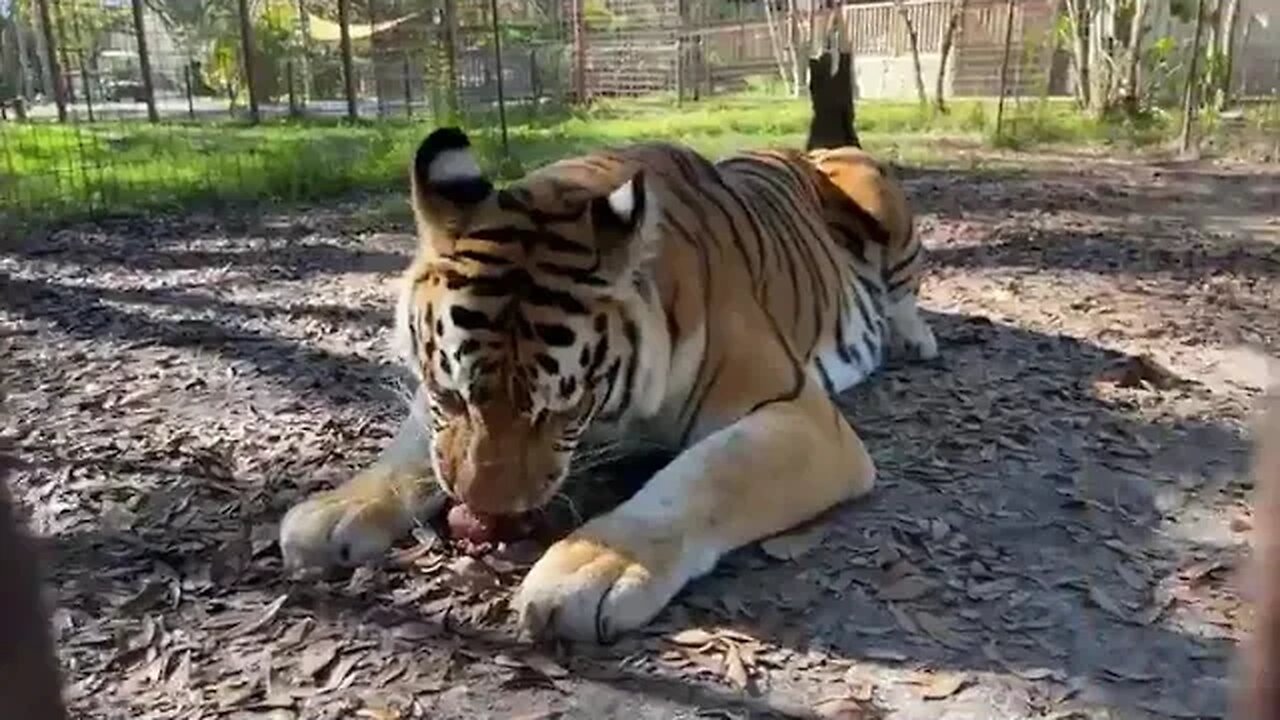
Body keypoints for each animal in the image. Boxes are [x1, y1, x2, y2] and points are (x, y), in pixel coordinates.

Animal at [280, 121, 942, 638]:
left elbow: (707, 475)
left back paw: (915, 339)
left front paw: (592, 569)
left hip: (877, 194)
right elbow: (411, 449)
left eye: (558, 409)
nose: (482, 512)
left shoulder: (798, 412)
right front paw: (333, 512)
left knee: (904, 291)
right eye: (451, 392)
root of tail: (809, 148)